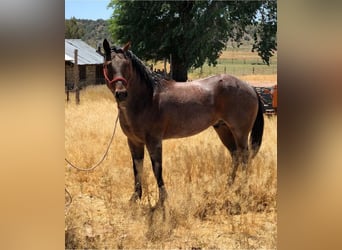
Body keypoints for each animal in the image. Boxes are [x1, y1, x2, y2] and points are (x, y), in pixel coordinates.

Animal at [103, 39, 264, 206]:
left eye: (127, 65)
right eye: (108, 65)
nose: (121, 94)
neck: (147, 99)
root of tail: (249, 86)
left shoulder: (154, 141)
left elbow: (157, 168)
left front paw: (162, 200)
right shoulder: (134, 141)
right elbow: (137, 168)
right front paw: (135, 197)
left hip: (240, 132)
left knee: (244, 157)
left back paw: (242, 189)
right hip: (223, 129)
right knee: (235, 155)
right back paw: (229, 185)